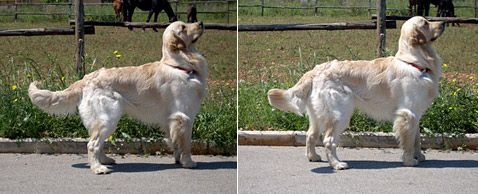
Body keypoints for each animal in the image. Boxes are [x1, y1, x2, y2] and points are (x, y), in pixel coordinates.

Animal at [28, 21, 205, 174]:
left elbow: (175, 142)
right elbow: (186, 143)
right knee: (92, 144)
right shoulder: (183, 116)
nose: (201, 23)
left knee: (97, 144)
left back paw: (105, 160)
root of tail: (88, 77)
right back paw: (98, 168)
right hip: (108, 117)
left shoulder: (170, 119)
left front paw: (178, 159)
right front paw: (188, 162)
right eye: (183, 27)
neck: (180, 66)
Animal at [268, 17, 444, 170]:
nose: (442, 23)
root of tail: (315, 70)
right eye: (426, 23)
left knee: (310, 135)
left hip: (318, 114)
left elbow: (417, 138)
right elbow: (408, 141)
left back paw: (313, 156)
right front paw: (409, 160)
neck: (414, 62)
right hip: (339, 114)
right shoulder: (408, 113)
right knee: (328, 140)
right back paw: (337, 164)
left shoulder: (416, 114)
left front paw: (419, 155)